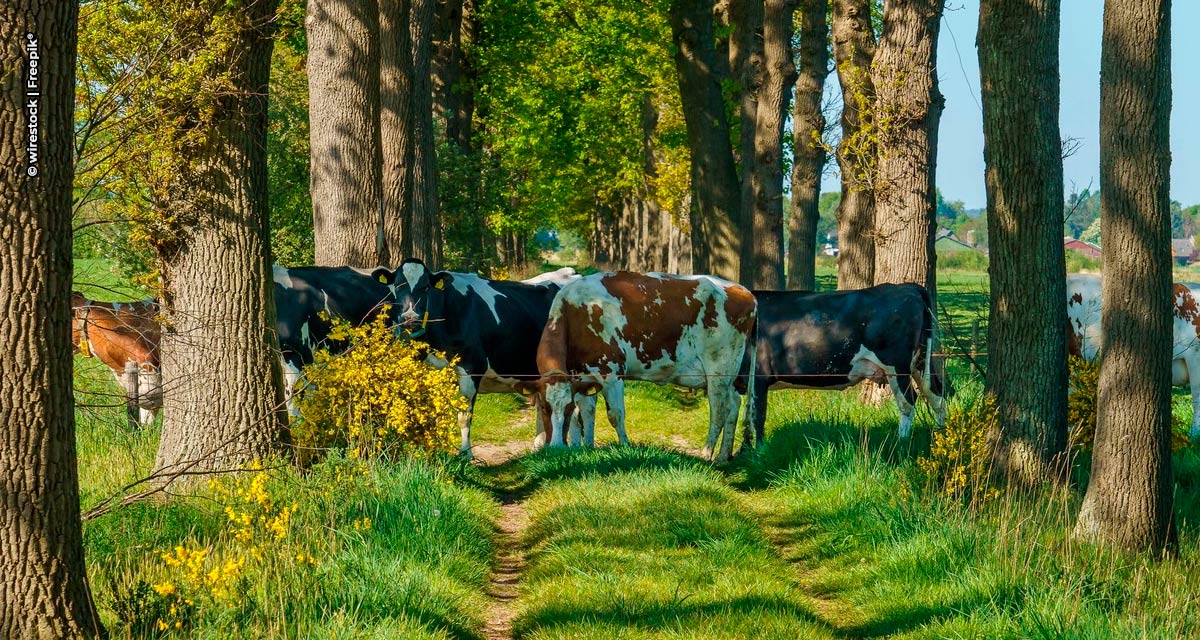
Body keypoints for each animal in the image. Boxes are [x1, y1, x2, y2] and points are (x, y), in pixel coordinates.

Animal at [374, 256, 580, 456]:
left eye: (425, 287)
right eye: (398, 286)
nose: (410, 318)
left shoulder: (471, 366)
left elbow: (464, 416)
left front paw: (465, 454)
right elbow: (429, 414)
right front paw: (430, 452)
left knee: (576, 406)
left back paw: (576, 445)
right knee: (543, 403)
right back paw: (540, 446)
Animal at [537, 268, 753, 458]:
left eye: (565, 408)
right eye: (545, 408)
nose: (555, 448)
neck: (574, 313)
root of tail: (742, 289)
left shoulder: (611, 372)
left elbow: (615, 414)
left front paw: (625, 447)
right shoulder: (582, 376)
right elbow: (585, 413)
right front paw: (587, 448)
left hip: (718, 369)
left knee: (719, 410)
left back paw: (707, 454)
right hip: (728, 374)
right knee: (734, 404)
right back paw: (723, 456)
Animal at [739, 282, 945, 446]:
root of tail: (908, 287)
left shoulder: (758, 376)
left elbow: (757, 415)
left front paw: (758, 451)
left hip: (896, 365)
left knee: (908, 401)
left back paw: (901, 442)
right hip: (920, 363)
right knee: (937, 395)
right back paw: (940, 436)